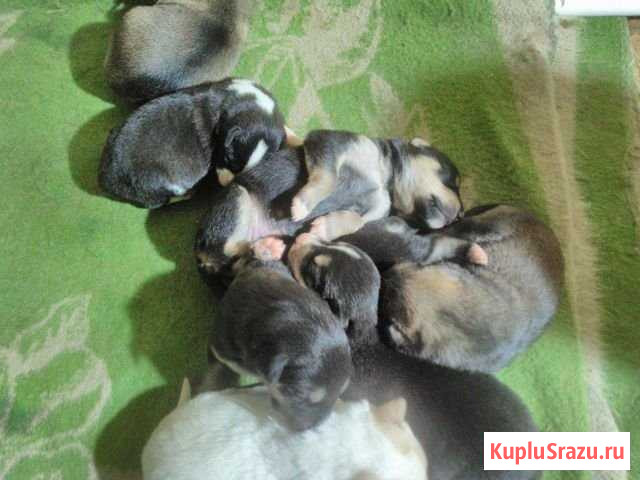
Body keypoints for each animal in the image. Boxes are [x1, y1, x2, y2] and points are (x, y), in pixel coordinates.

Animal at [290, 130, 463, 229]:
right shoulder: (331, 141)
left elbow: (358, 221)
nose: (459, 216)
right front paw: (302, 206)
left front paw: (327, 228)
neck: (385, 179)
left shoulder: (380, 204)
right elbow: (329, 180)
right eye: (454, 182)